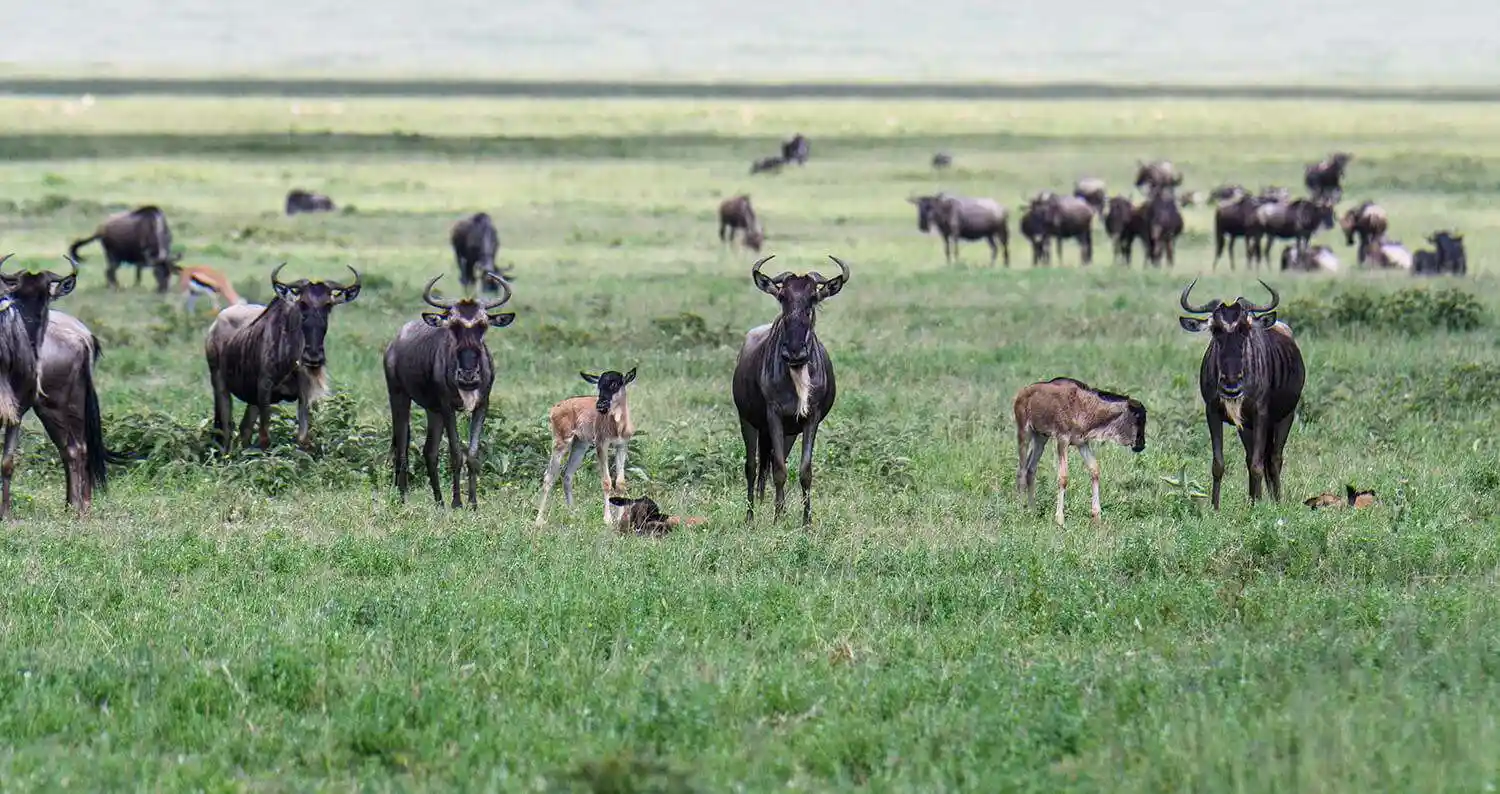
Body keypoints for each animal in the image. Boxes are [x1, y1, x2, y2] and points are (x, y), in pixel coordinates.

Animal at [537, 366, 636, 525]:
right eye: (599, 385)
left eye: (615, 384)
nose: (601, 405)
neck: (617, 427)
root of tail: (555, 408)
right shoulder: (601, 444)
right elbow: (606, 481)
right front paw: (607, 519)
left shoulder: (622, 445)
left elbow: (620, 483)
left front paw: (620, 519)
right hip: (561, 443)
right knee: (549, 476)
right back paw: (539, 520)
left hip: (580, 445)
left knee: (567, 475)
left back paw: (573, 513)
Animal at [1020, 378, 1146, 525]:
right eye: (1136, 416)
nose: (1141, 445)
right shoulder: (1062, 440)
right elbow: (1063, 477)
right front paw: (1059, 519)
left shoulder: (1082, 443)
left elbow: (1095, 470)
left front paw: (1096, 516)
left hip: (1041, 437)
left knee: (1030, 468)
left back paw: (1032, 511)